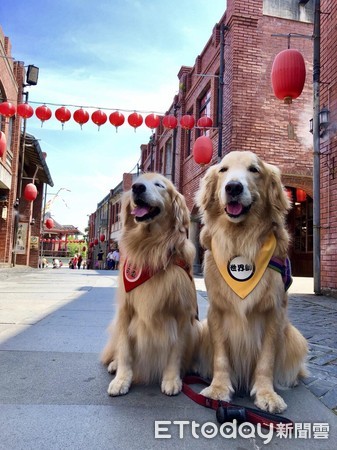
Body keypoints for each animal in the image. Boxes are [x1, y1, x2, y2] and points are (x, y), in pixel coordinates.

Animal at [101, 171, 201, 396]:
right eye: (138, 182)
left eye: (159, 185)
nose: (137, 188)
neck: (151, 247)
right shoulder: (125, 311)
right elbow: (125, 350)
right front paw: (122, 379)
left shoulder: (182, 314)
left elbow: (175, 351)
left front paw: (171, 378)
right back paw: (114, 364)